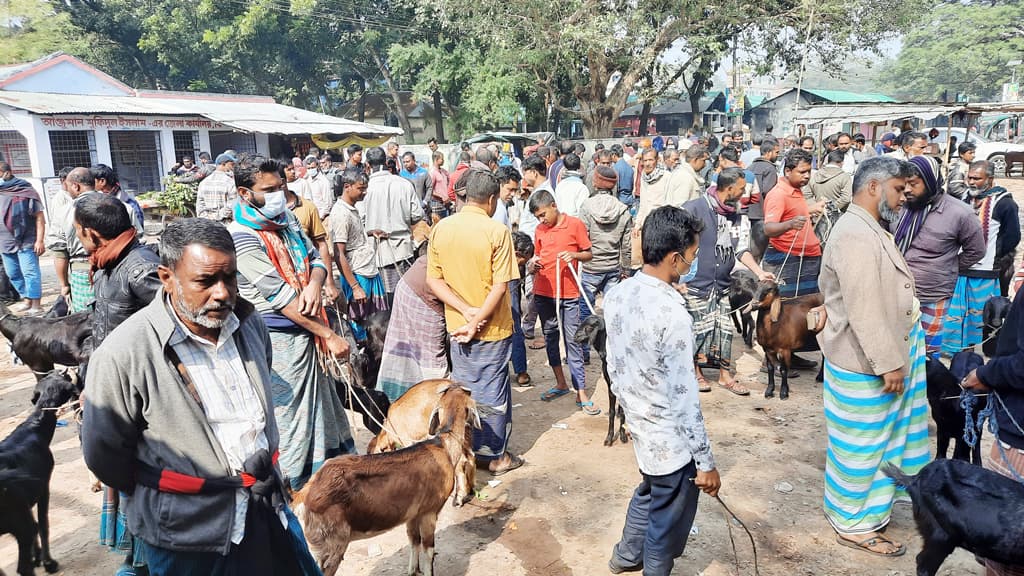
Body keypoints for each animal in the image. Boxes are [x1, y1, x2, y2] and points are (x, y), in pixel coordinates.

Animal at [0, 368, 79, 569]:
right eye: (63, 377)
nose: (61, 369)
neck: (34, 428)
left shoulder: (25, 504)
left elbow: (34, 525)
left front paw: (36, 556)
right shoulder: (44, 487)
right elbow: (43, 524)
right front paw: (48, 561)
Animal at [290, 385, 477, 573]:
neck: (444, 446)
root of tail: (302, 496)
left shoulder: (413, 514)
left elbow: (414, 541)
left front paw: (412, 571)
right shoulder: (429, 511)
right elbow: (428, 551)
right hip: (329, 545)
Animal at [573, 313, 626, 444]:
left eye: (590, 327)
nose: (575, 337)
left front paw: (622, 435)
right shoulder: (610, 384)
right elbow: (612, 411)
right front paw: (609, 438)